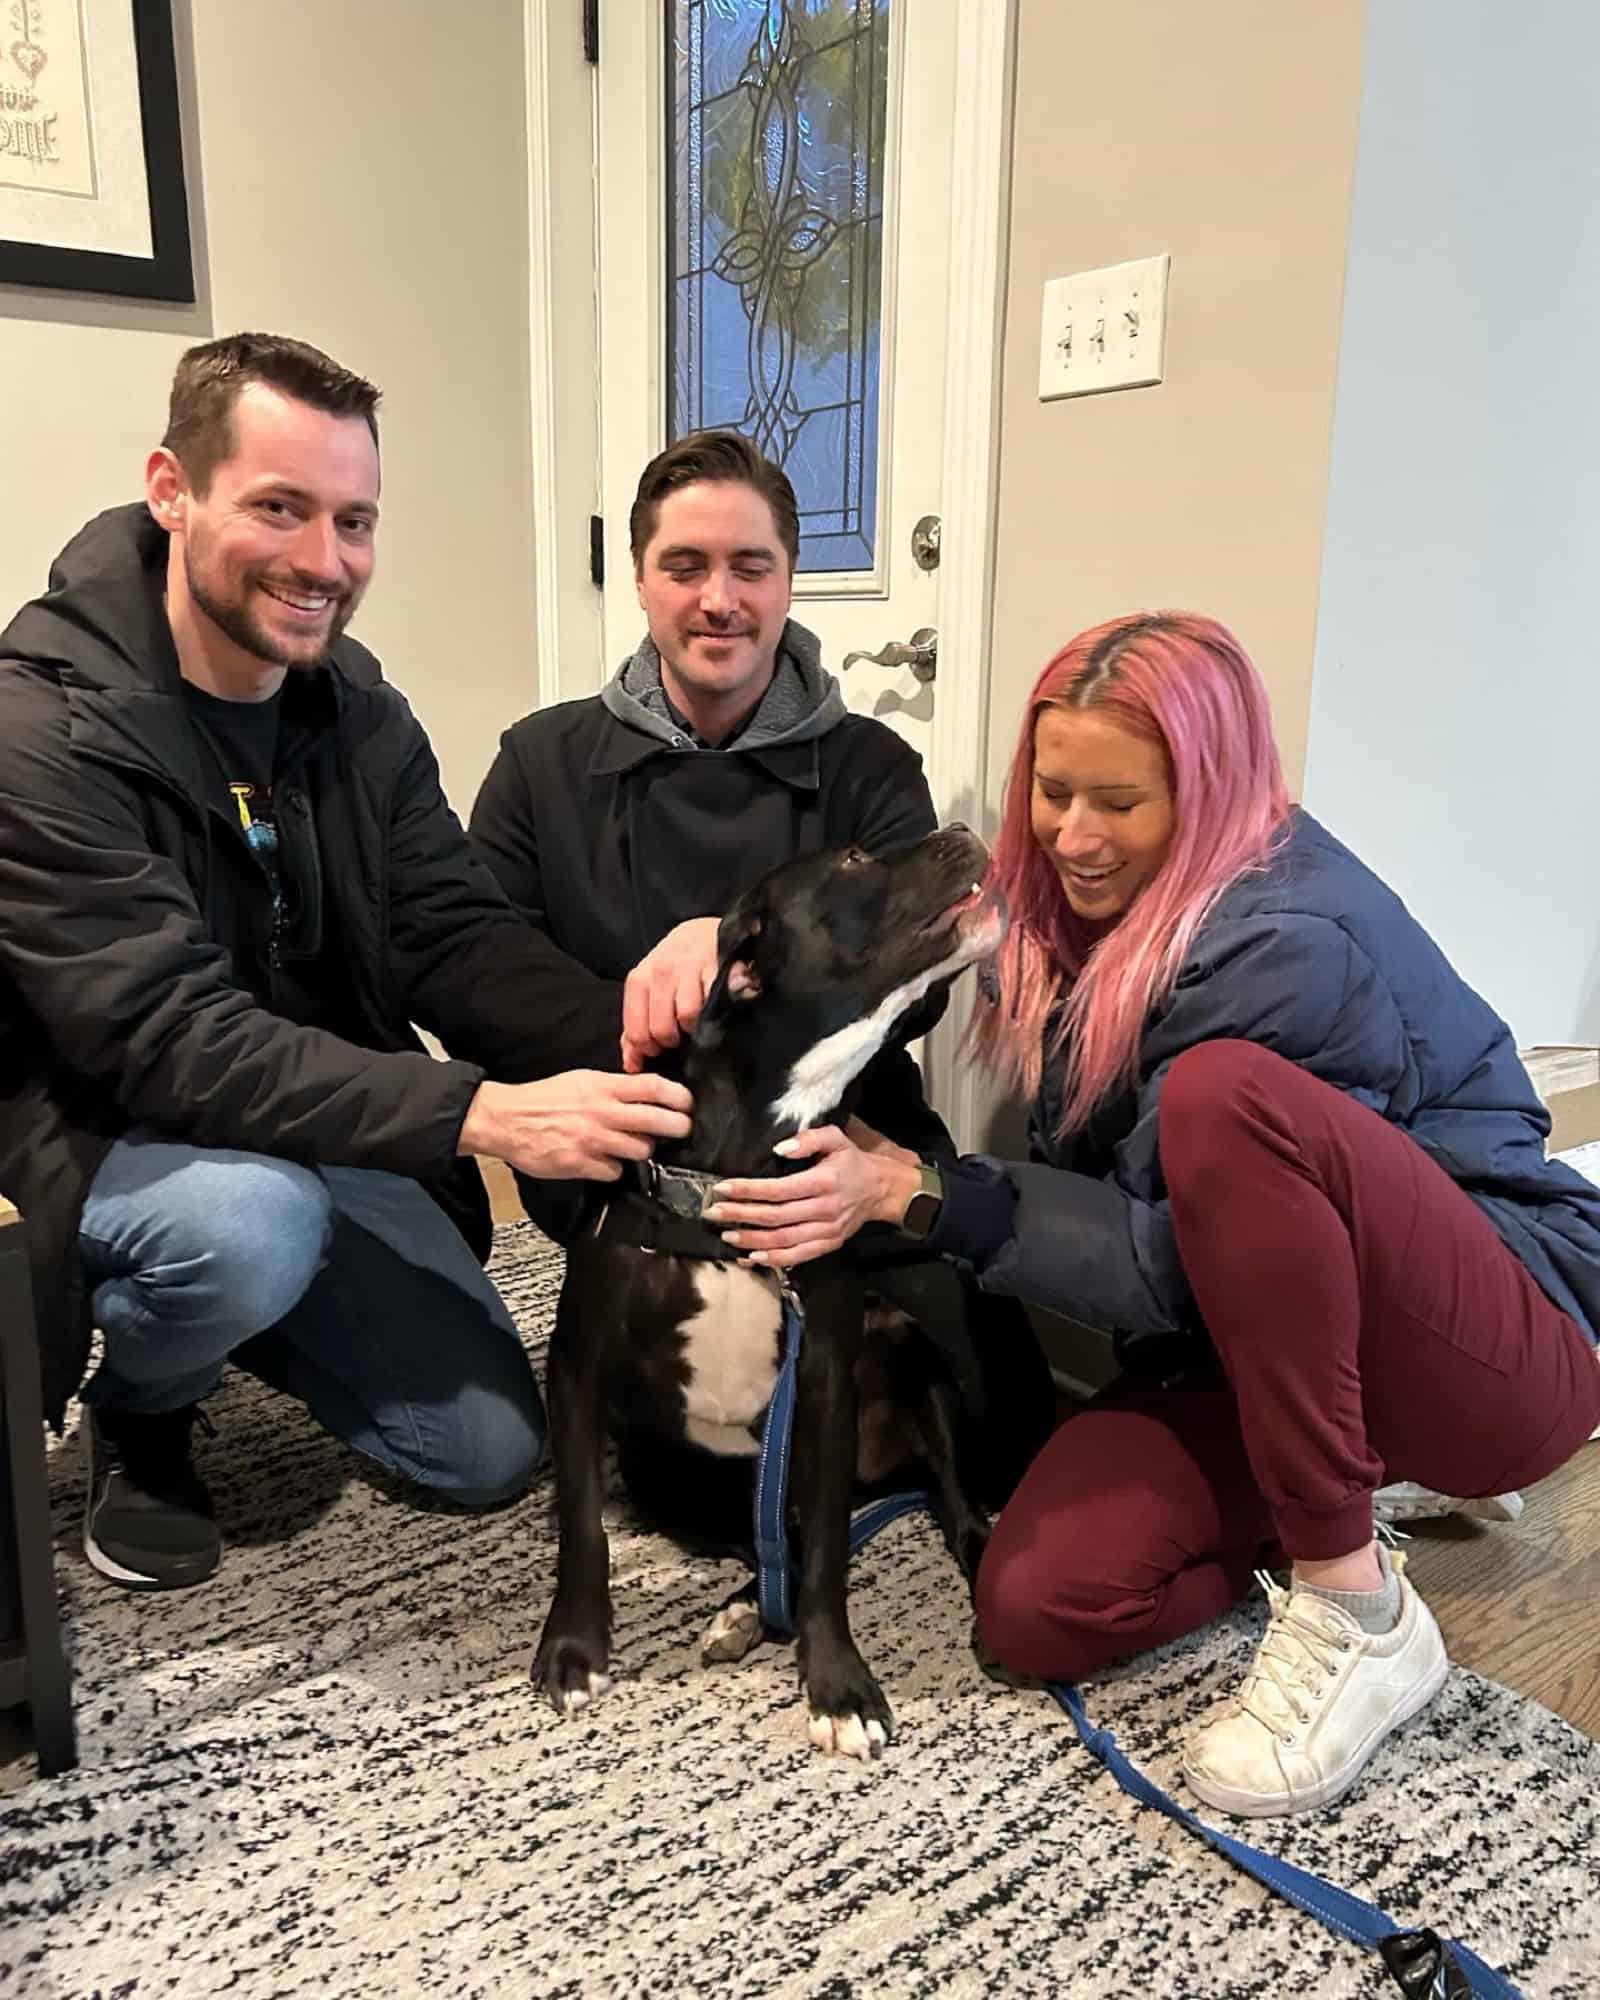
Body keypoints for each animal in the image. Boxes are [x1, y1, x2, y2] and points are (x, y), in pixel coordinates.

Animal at [544, 828, 1008, 1768]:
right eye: (855, 860)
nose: (961, 832)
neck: (741, 1164)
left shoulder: (824, 1383)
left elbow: (829, 1560)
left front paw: (838, 1687)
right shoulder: (577, 1368)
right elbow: (583, 1525)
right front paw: (574, 1649)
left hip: (911, 1359)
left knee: (943, 1503)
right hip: (672, 1476)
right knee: (772, 1543)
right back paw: (741, 1611)